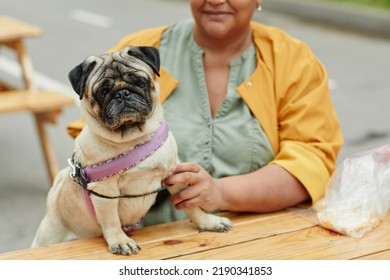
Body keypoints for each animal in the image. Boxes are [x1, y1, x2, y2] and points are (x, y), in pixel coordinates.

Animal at [32, 46, 232, 256]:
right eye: (103, 91)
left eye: (140, 82)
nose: (123, 94)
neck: (133, 140)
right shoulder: (105, 192)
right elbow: (111, 220)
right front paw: (120, 241)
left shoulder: (175, 174)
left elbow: (193, 207)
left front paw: (208, 222)